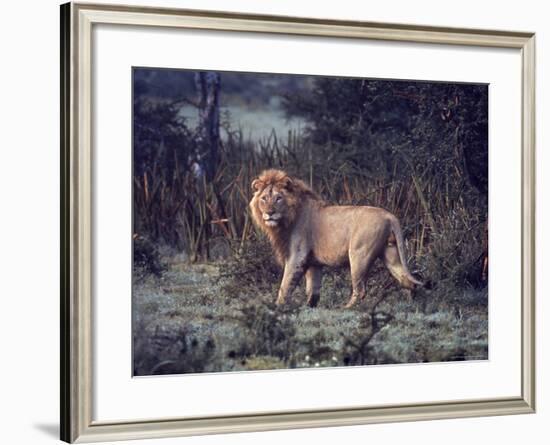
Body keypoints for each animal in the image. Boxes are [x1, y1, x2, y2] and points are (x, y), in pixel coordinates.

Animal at [250, 168, 422, 306]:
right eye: (264, 198)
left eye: (278, 198)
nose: (270, 213)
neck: (286, 220)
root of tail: (389, 216)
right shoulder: (314, 263)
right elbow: (313, 291)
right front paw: (310, 308)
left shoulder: (296, 257)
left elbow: (285, 287)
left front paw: (277, 308)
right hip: (391, 252)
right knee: (408, 281)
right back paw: (414, 305)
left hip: (359, 255)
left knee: (360, 290)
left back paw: (346, 309)